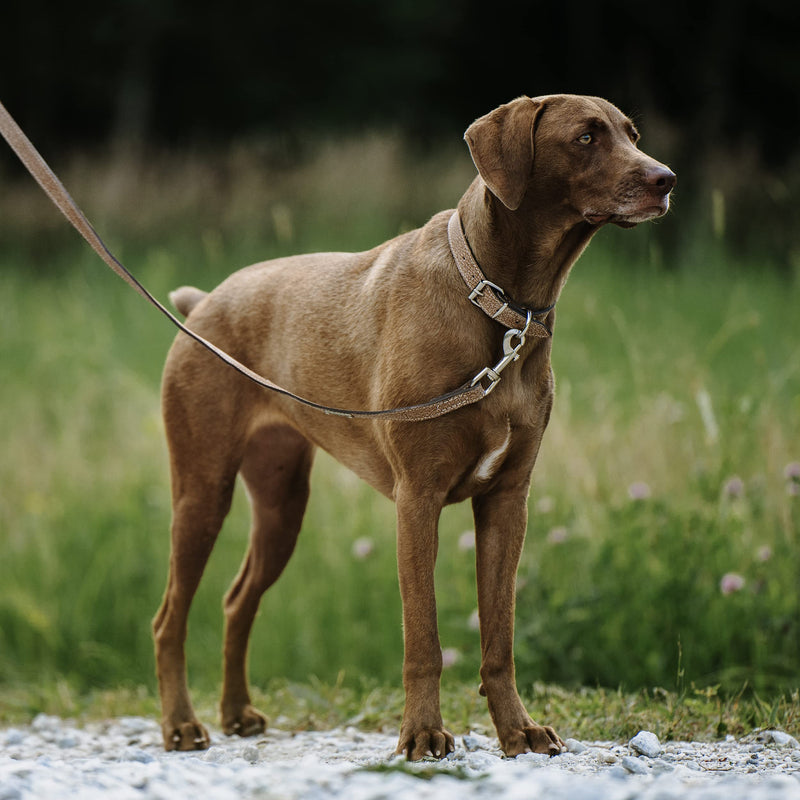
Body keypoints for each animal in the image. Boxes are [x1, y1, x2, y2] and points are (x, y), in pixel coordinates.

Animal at [152, 94, 676, 756]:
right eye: (586, 137)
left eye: (633, 134)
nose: (667, 179)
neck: (499, 305)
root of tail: (203, 304)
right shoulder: (417, 498)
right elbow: (423, 636)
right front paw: (424, 733)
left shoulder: (508, 500)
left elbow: (499, 638)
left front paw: (518, 730)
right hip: (202, 491)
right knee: (169, 617)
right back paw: (181, 724)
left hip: (281, 504)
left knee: (236, 601)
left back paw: (236, 711)